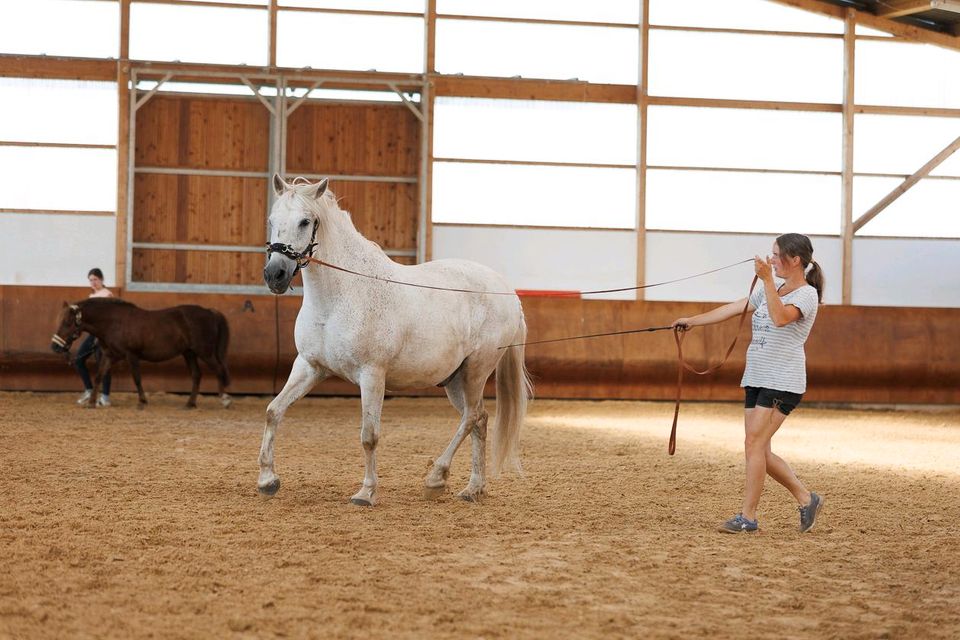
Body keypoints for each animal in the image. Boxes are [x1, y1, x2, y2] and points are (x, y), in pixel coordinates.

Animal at [51, 298, 232, 410]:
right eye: (59, 320)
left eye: (68, 322)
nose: (55, 347)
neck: (114, 323)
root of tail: (209, 312)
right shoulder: (110, 356)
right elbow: (99, 376)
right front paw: (91, 402)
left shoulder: (132, 355)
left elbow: (137, 378)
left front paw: (142, 402)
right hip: (189, 353)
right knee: (197, 375)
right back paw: (190, 404)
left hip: (205, 352)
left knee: (219, 370)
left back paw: (225, 399)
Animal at [258, 176, 528, 504]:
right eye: (272, 220)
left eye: (305, 221)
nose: (275, 274)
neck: (340, 296)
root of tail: (507, 292)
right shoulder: (309, 367)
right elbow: (274, 412)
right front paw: (267, 480)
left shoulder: (372, 374)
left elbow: (369, 435)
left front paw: (366, 492)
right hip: (455, 380)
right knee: (480, 420)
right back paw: (473, 488)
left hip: (476, 370)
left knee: (472, 417)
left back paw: (437, 478)